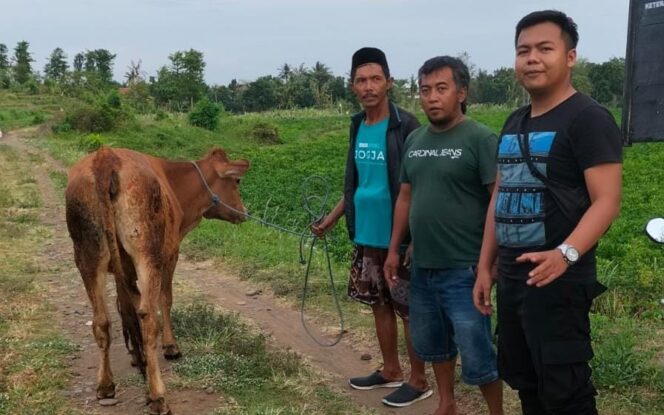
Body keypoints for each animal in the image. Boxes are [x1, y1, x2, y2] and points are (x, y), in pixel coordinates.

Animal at [65, 148, 249, 414]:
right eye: (236, 181)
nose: (244, 212)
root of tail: (105, 158)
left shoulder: (125, 271)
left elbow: (125, 307)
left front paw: (136, 355)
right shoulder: (171, 254)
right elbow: (166, 299)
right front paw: (170, 346)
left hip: (87, 255)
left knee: (101, 320)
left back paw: (106, 385)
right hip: (147, 254)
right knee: (148, 317)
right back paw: (157, 396)